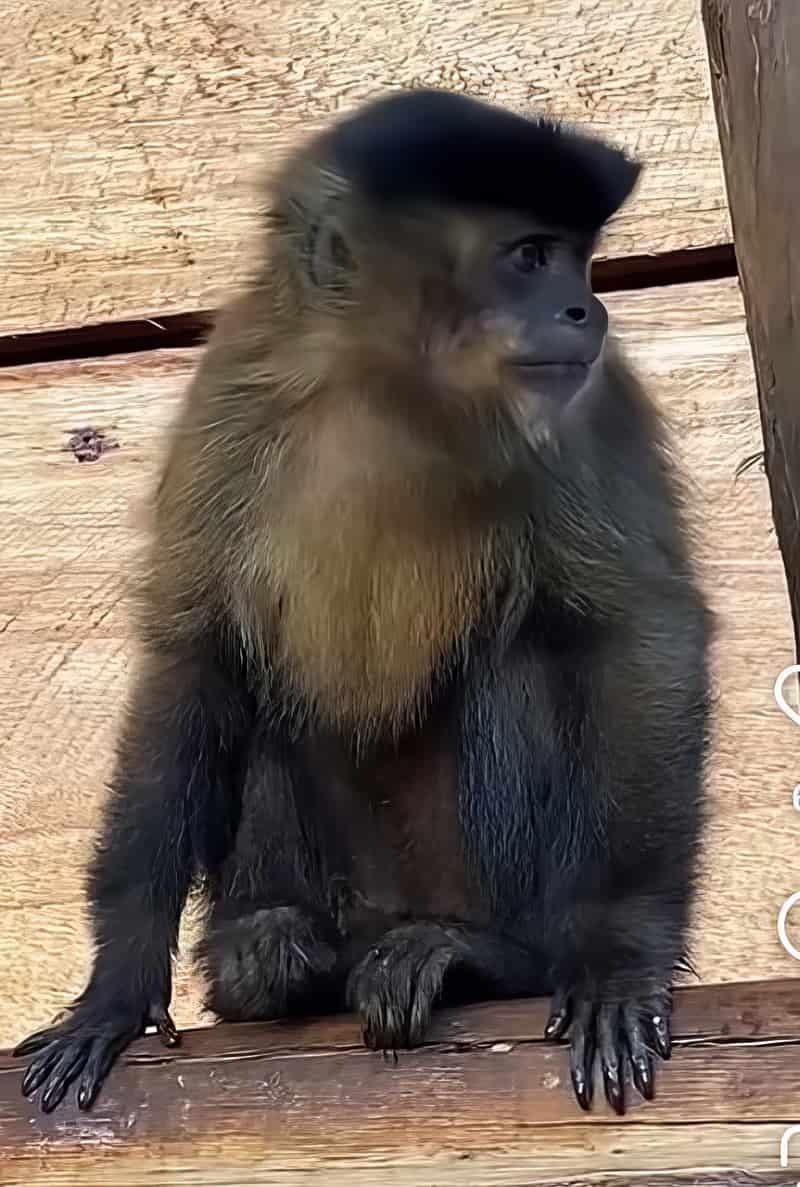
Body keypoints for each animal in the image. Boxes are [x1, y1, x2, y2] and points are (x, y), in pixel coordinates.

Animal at [15, 88, 711, 1117]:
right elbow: (192, 654)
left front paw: (621, 963)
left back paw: (482, 956)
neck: (394, 397)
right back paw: (273, 955)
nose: (586, 307)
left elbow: (644, 633)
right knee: (266, 698)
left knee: (512, 665)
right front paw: (115, 992)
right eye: (531, 257)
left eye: (577, 257)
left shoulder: (589, 396)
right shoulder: (235, 388)